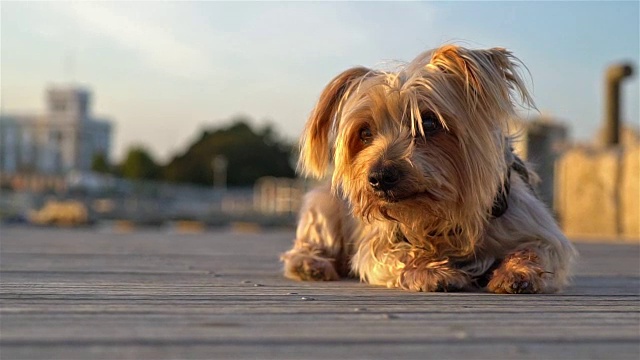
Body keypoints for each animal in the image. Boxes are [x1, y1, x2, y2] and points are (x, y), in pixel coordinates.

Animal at [280, 44, 576, 292]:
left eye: (430, 122)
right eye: (364, 133)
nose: (379, 176)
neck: (440, 217)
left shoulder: (530, 225)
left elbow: (539, 248)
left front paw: (517, 272)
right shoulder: (380, 241)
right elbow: (393, 254)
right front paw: (432, 271)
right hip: (323, 204)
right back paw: (312, 265)